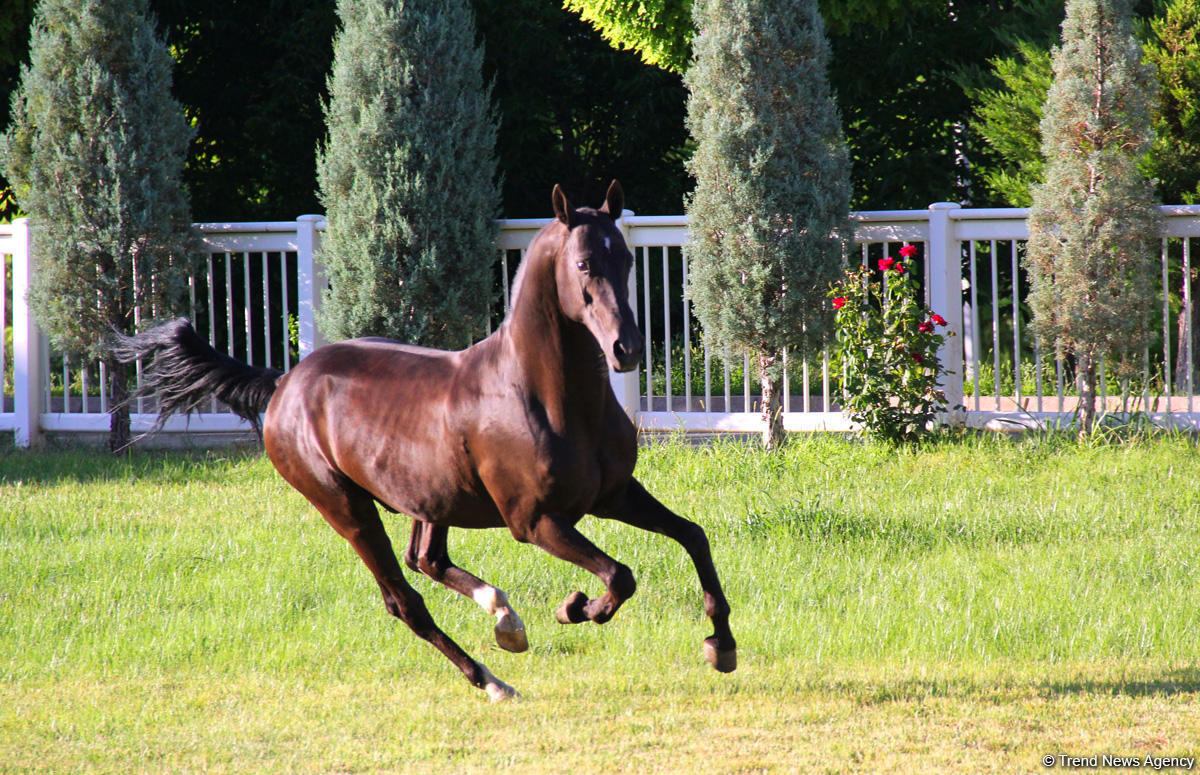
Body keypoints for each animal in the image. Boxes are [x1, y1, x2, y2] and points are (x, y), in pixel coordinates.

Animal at [114, 183, 729, 705]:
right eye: (583, 263)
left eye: (624, 259)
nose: (627, 348)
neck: (542, 394)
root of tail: (286, 381)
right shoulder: (536, 522)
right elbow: (619, 575)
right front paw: (576, 608)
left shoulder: (613, 495)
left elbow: (693, 536)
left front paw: (721, 645)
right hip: (348, 509)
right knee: (404, 599)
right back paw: (492, 679)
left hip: (429, 499)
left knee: (426, 559)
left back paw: (504, 620)